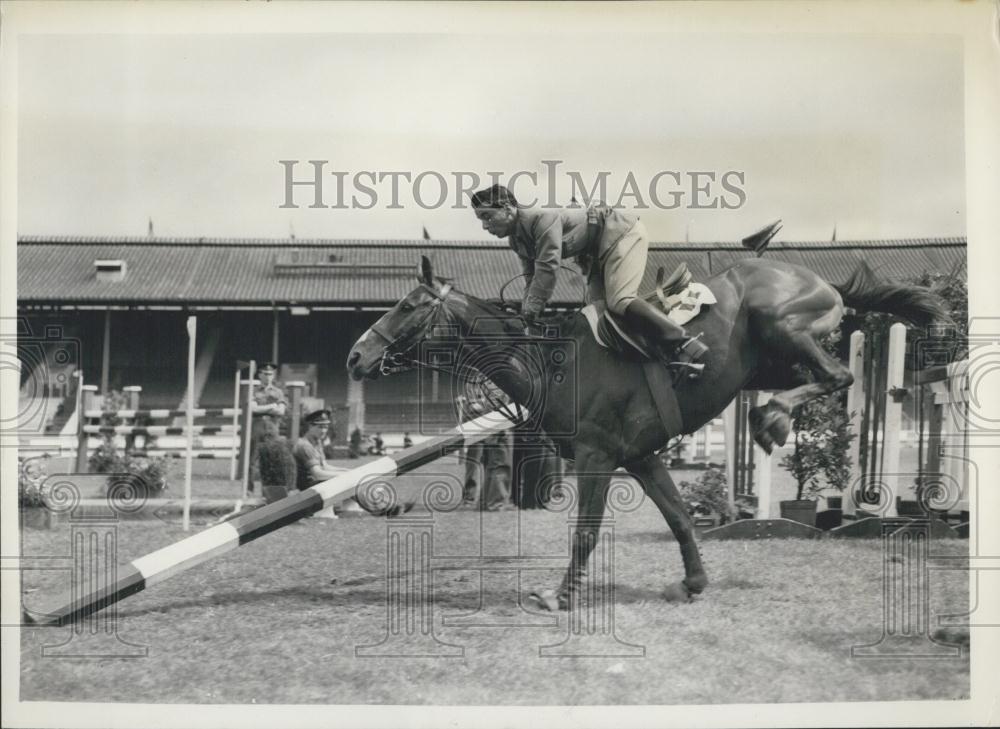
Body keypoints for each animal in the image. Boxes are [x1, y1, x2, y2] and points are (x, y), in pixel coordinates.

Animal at [348, 253, 948, 604]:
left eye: (408, 305)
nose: (355, 356)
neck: (551, 362)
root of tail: (822, 279)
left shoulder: (597, 457)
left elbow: (586, 531)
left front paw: (561, 594)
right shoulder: (640, 457)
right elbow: (680, 517)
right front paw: (695, 581)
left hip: (782, 325)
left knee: (839, 375)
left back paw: (770, 419)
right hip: (769, 362)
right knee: (825, 376)